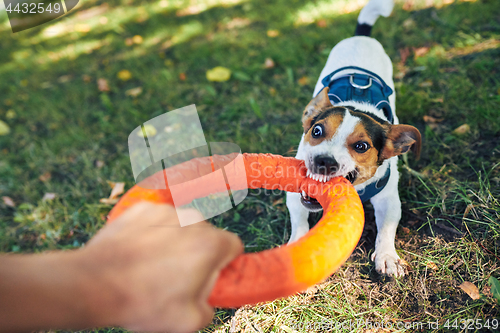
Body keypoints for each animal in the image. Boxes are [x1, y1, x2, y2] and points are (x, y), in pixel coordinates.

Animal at [286, 0, 422, 276]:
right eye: (316, 131)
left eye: (361, 146)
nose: (324, 162)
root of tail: (362, 36)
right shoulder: (295, 194)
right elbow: (299, 221)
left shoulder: (388, 199)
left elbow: (386, 229)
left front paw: (387, 256)